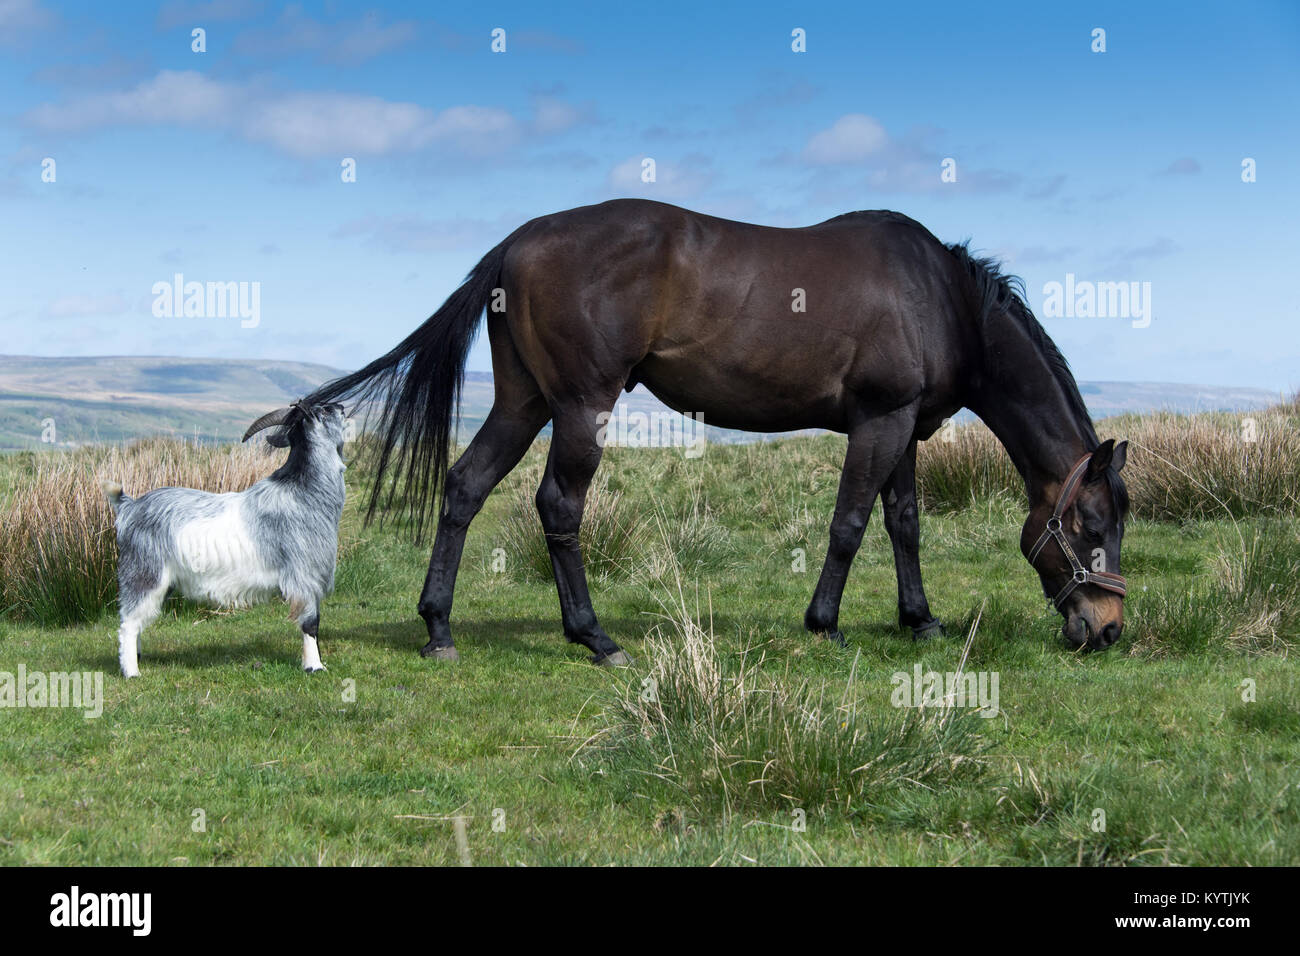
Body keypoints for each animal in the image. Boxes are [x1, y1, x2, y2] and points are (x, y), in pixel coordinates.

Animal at [102, 400, 348, 676]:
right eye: (323, 410)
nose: (341, 406)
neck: (302, 493)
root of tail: (129, 507)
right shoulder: (304, 577)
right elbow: (310, 624)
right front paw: (314, 666)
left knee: (138, 620)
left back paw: (137, 657)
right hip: (145, 574)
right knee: (128, 624)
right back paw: (131, 672)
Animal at [304, 197, 1128, 665]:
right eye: (1090, 525)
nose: (1109, 627)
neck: (941, 297)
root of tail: (518, 240)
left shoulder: (903, 426)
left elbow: (904, 524)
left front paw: (919, 621)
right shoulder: (879, 421)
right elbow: (850, 524)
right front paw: (824, 625)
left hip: (523, 402)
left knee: (466, 486)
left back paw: (439, 629)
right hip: (578, 405)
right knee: (559, 507)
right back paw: (593, 637)